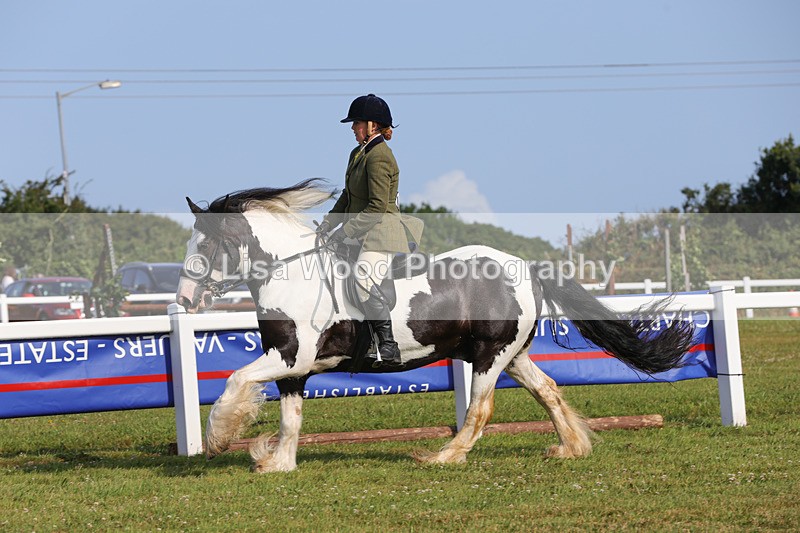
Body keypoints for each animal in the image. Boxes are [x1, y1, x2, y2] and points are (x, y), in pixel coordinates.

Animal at [176, 179, 695, 473]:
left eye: (208, 244)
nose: (183, 300)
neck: (291, 273)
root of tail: (527, 267)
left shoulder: (289, 356)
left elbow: (234, 381)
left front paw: (220, 439)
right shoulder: (294, 366)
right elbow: (290, 418)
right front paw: (279, 464)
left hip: (489, 356)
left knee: (480, 410)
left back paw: (442, 457)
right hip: (512, 354)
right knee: (547, 390)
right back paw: (570, 448)